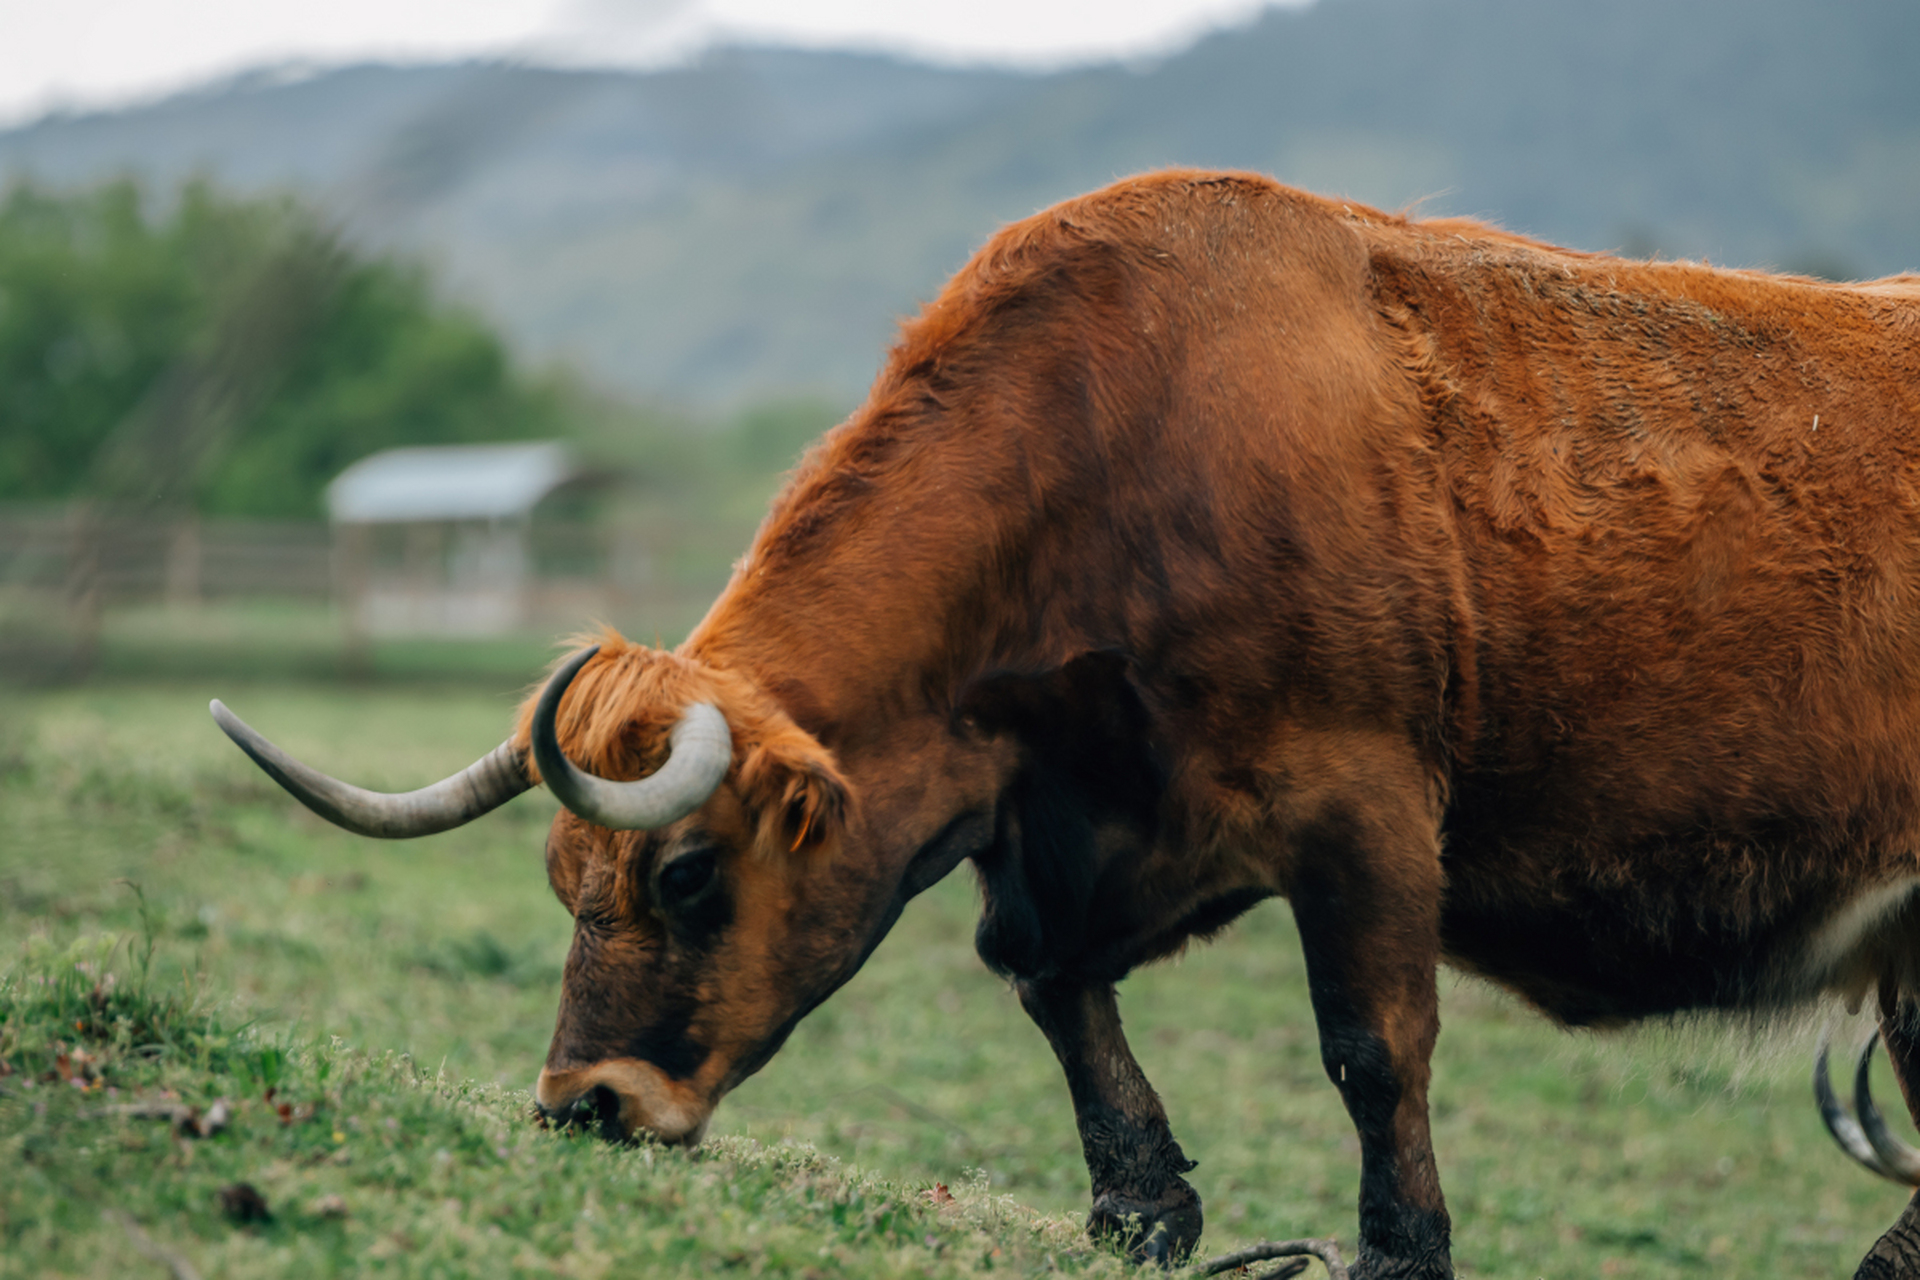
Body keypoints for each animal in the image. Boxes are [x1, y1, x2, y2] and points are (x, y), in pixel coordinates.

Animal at [214, 172, 1920, 1280]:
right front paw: (1145, 1210)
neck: (1130, 448)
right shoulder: (1052, 814)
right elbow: (1044, 981)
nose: (587, 1107)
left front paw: (1398, 1252)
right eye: (566, 882)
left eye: (688, 875)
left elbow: (1374, 1049)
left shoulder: (1364, 809)